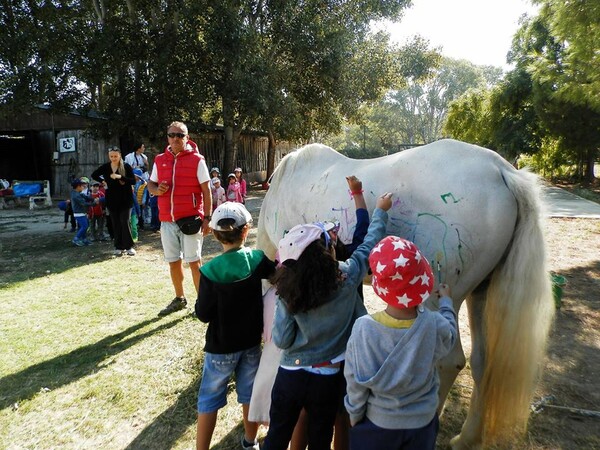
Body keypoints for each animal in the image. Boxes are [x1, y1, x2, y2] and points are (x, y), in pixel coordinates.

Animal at [255, 139, 556, 448]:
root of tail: (502, 171)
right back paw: (466, 438)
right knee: (482, 362)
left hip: (442, 299)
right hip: (479, 295)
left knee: (449, 362)